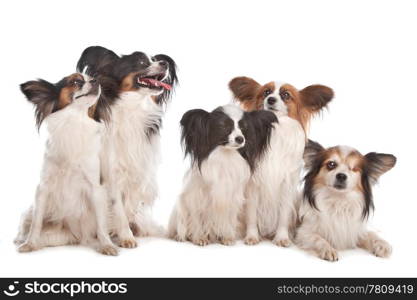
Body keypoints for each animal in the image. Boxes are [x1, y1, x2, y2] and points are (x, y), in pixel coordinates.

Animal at [14, 72, 117, 255]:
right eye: (75, 81)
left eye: (93, 78)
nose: (96, 81)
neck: (75, 120)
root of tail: (77, 237)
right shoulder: (43, 187)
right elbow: (36, 222)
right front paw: (30, 243)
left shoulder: (95, 188)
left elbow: (101, 224)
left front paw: (106, 245)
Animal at [76, 46, 177, 248]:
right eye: (141, 62)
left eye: (155, 59)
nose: (165, 63)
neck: (135, 108)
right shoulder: (112, 174)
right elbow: (118, 208)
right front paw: (125, 236)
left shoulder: (141, 171)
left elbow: (131, 204)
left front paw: (127, 229)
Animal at [167, 105, 278, 246]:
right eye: (223, 126)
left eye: (243, 128)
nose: (240, 139)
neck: (225, 156)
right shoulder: (196, 197)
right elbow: (197, 218)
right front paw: (199, 238)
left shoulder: (230, 198)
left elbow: (228, 218)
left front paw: (227, 237)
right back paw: (180, 236)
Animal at [229, 77, 334, 246]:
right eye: (266, 92)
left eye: (286, 95)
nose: (271, 99)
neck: (276, 130)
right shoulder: (253, 185)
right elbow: (251, 213)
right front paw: (252, 236)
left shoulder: (287, 184)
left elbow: (284, 214)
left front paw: (282, 237)